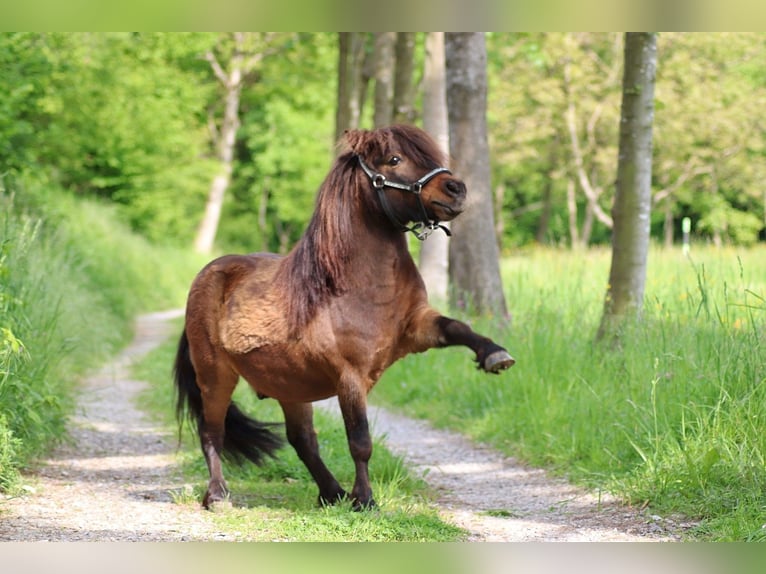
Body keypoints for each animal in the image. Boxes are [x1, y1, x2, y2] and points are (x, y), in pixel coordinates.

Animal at [174, 124, 516, 510]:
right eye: (394, 159)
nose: (456, 189)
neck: (359, 285)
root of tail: (209, 273)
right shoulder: (350, 377)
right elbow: (361, 442)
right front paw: (364, 499)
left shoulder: (417, 328)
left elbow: (457, 327)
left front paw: (495, 355)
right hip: (215, 375)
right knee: (211, 431)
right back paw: (218, 494)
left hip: (289, 386)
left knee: (302, 439)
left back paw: (331, 492)